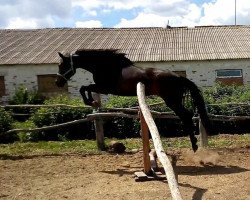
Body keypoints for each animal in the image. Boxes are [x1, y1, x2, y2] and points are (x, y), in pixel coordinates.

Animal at [55, 48, 210, 152]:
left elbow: (84, 88)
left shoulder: (105, 88)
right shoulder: (102, 87)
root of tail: (178, 77)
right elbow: (85, 88)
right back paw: (194, 145)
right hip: (174, 101)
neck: (106, 66)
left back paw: (194, 145)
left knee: (187, 115)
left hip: (172, 101)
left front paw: (89, 101)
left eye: (63, 65)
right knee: (187, 116)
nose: (58, 82)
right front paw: (92, 101)